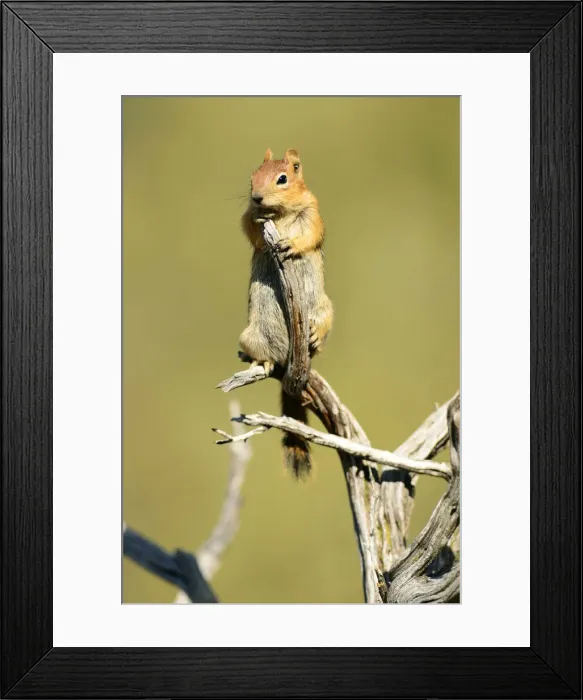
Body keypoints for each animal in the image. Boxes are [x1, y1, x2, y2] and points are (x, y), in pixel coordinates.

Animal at [239, 148, 333, 478]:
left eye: (283, 178)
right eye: (252, 177)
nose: (256, 197)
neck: (280, 214)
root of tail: (288, 360)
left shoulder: (314, 209)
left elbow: (312, 234)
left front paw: (289, 244)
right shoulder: (247, 218)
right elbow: (252, 231)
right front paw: (263, 221)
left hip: (326, 306)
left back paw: (316, 335)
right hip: (249, 336)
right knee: (261, 355)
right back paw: (264, 362)